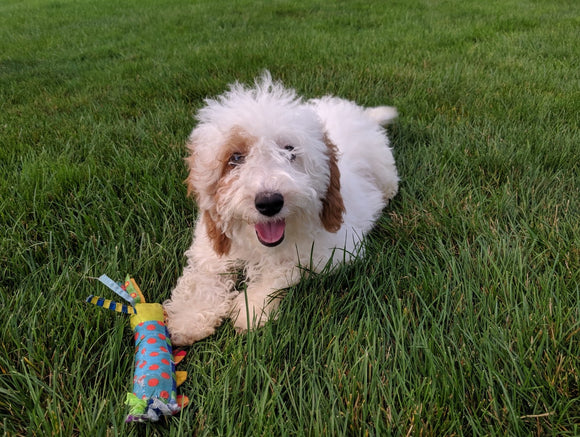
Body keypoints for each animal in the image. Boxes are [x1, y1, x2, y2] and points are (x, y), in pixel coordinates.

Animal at [163, 72, 398, 344]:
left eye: (289, 150)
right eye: (236, 158)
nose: (269, 202)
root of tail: (358, 113)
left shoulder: (332, 251)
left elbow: (283, 268)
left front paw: (251, 308)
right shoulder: (211, 242)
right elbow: (205, 274)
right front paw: (191, 315)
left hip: (383, 168)